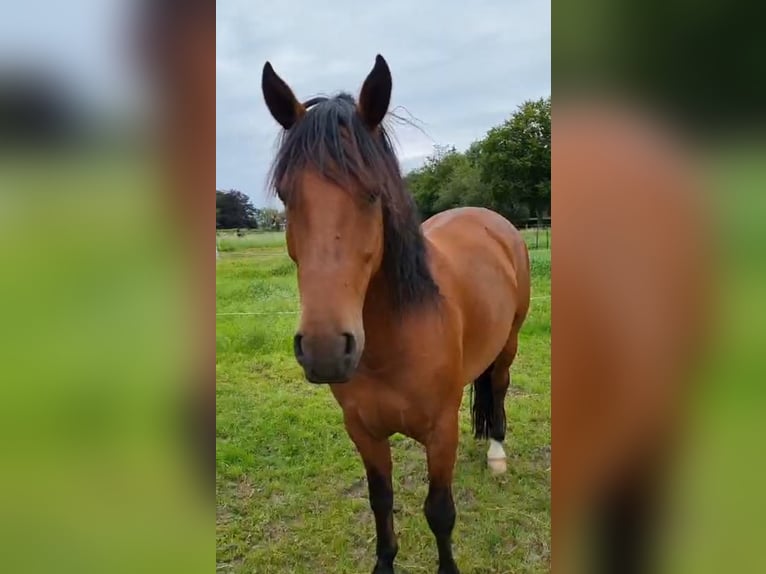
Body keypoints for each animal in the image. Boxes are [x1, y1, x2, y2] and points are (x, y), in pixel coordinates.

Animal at [260, 55, 532, 574]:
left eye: (372, 193)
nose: (325, 349)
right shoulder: (363, 432)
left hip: (509, 342)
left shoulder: (439, 432)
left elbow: (440, 511)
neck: (392, 341)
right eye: (285, 195)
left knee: (500, 386)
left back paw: (495, 453)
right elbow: (380, 501)